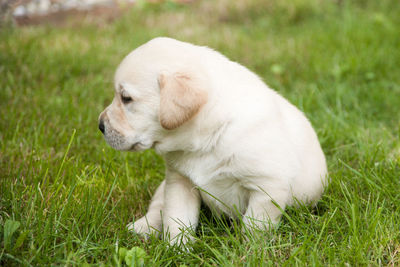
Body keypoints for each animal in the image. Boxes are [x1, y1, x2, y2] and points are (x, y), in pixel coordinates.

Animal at [97, 36, 328, 246]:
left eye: (126, 98)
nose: (100, 125)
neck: (210, 135)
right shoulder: (179, 181)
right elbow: (176, 218)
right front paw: (177, 249)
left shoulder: (268, 186)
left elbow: (255, 225)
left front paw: (251, 252)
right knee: (157, 206)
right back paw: (142, 227)